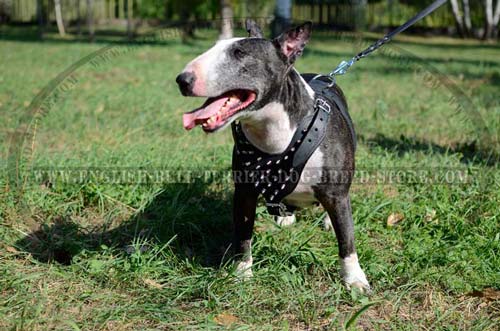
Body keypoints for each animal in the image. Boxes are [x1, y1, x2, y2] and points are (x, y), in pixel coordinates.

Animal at [178, 20, 370, 294]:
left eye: (239, 53)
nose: (182, 80)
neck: (275, 135)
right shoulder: (244, 193)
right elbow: (243, 235)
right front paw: (242, 273)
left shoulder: (336, 194)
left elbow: (346, 239)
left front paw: (354, 278)